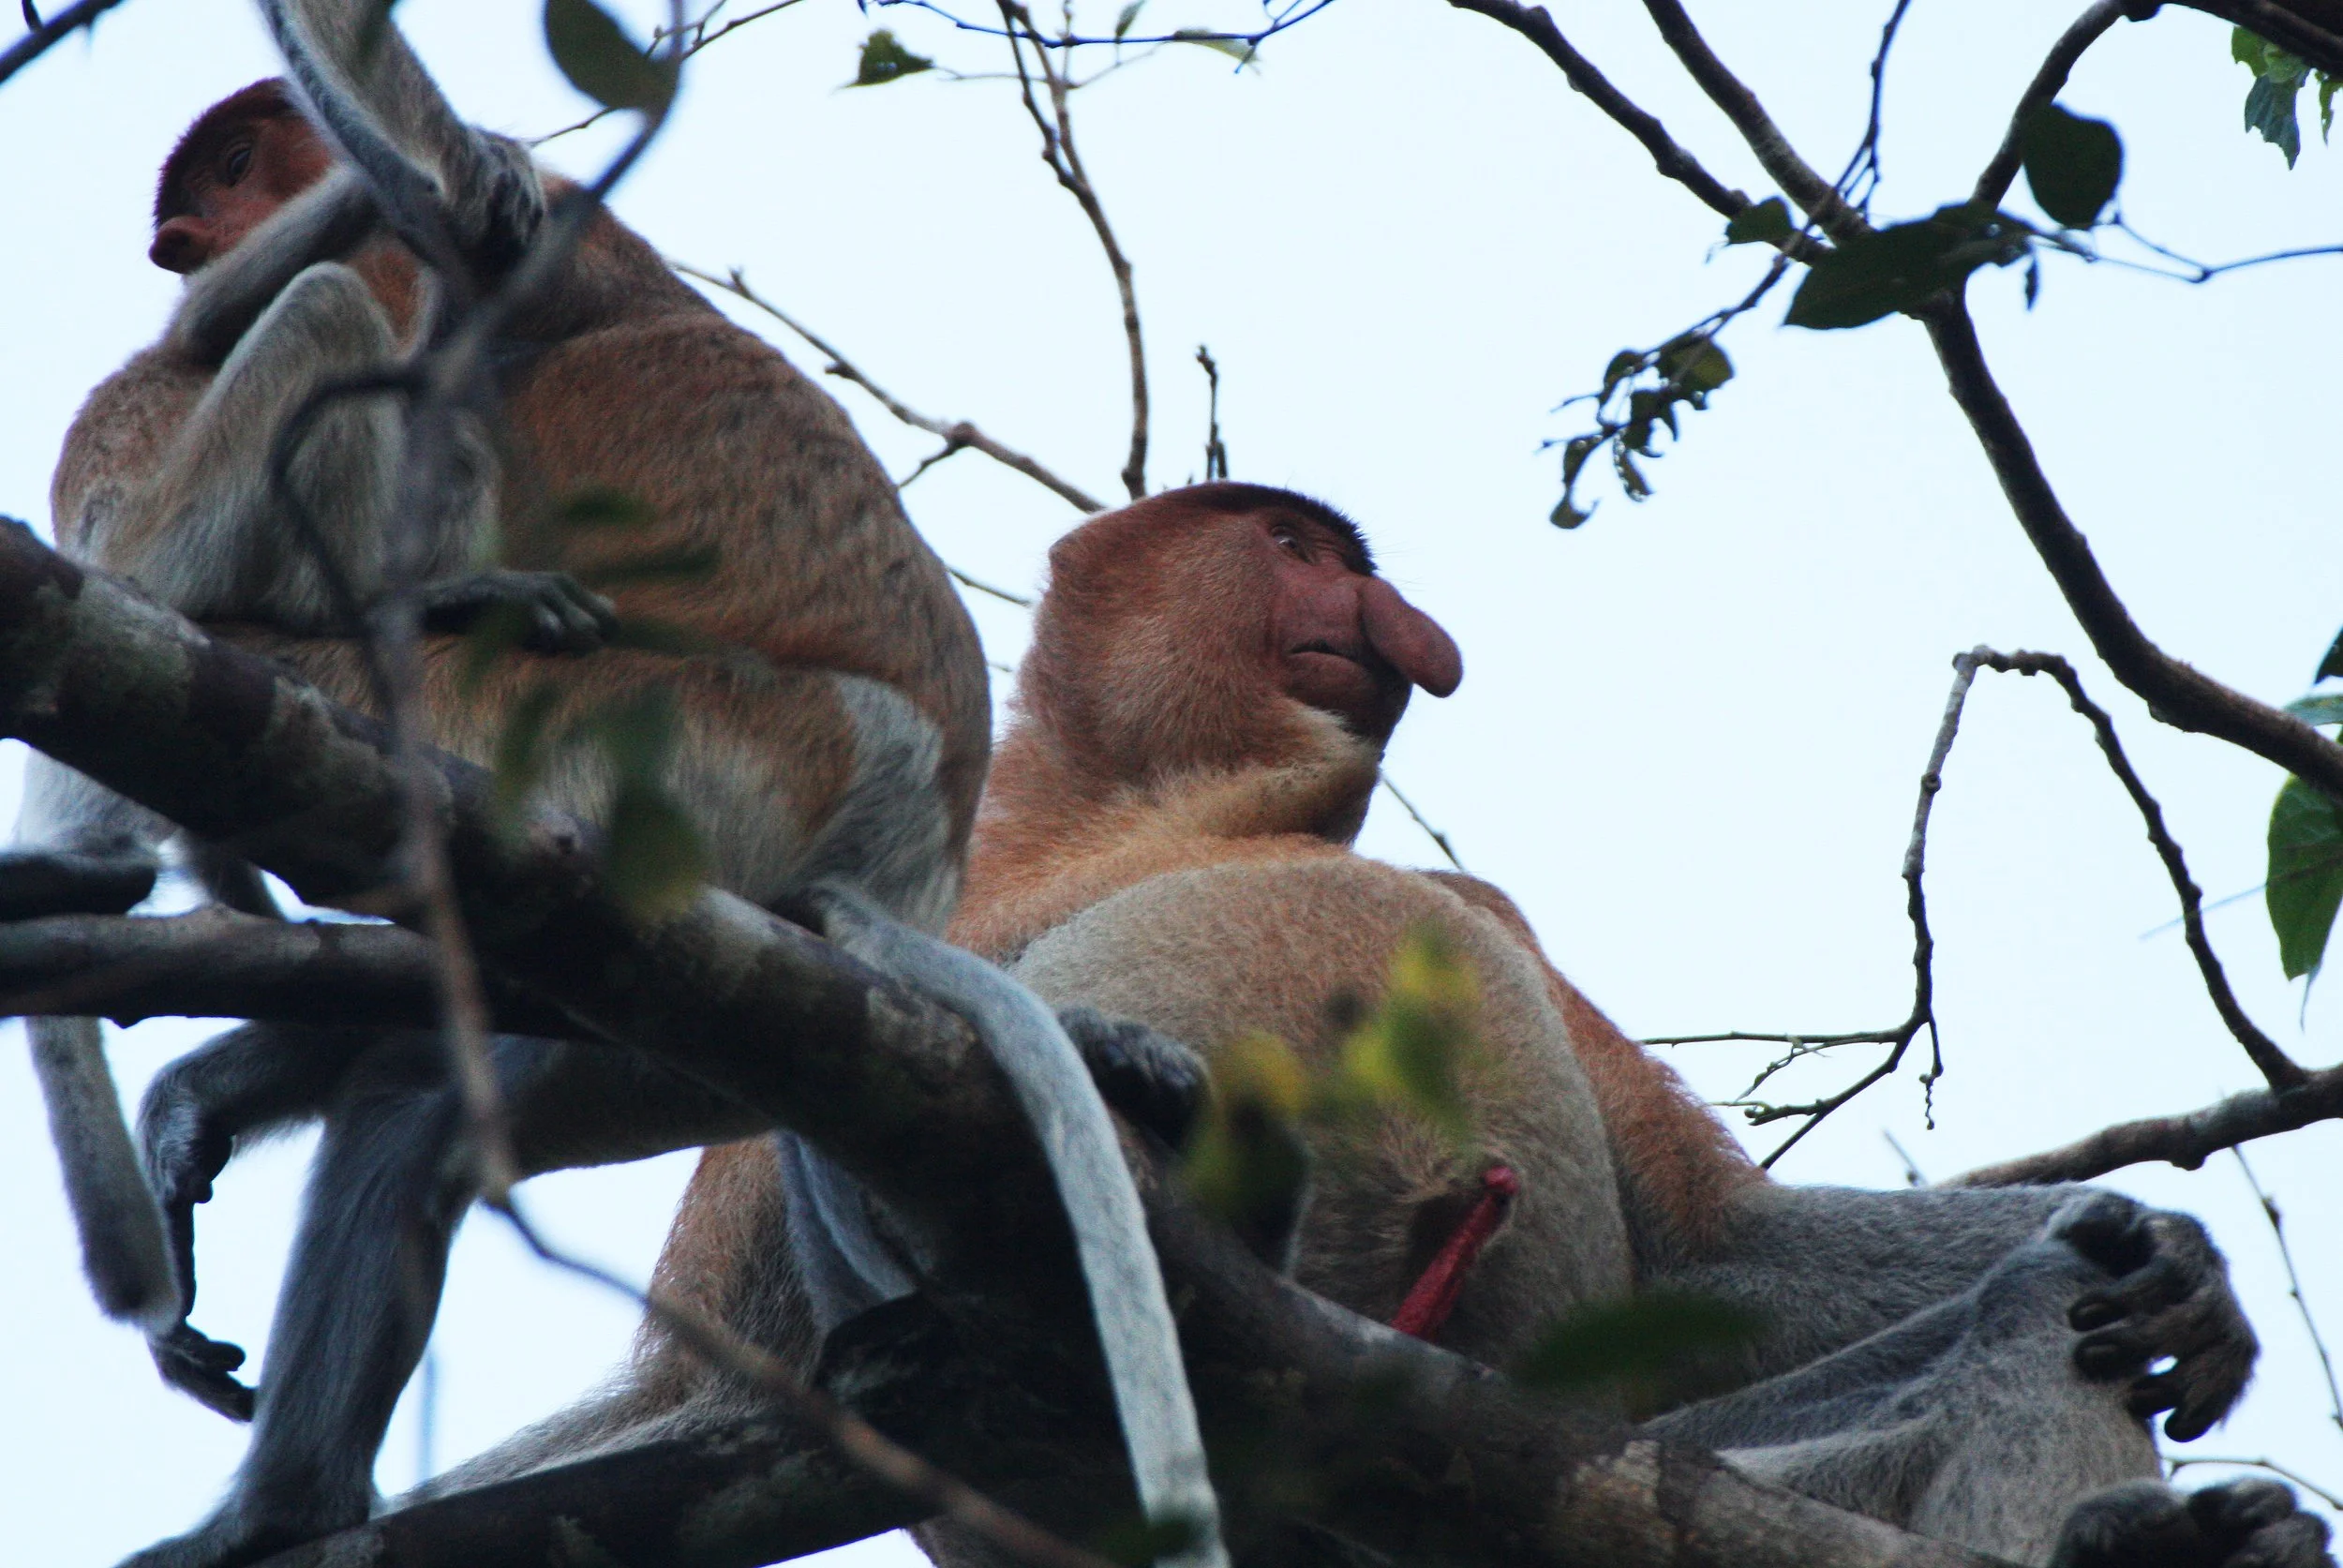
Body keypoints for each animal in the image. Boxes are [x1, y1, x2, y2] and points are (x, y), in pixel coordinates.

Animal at [7, 6, 1222, 1565]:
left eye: (227, 165)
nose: (176, 238)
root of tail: (902, 832)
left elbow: (391, 236)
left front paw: (466, 167)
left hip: (632, 741)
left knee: (317, 353)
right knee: (422, 1077)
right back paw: (288, 1498)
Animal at [537, 481, 2314, 1568]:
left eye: (1346, 553)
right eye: (1293, 543)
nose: (1403, 618)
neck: (1164, 799)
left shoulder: (1488, 911)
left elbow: (1711, 1249)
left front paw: (2176, 1256)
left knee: (2035, 1322)